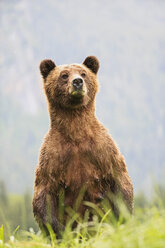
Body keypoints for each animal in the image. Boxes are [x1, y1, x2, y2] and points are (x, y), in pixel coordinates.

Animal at [32, 55, 133, 235]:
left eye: (83, 73)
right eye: (64, 75)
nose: (77, 82)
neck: (76, 134)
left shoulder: (104, 151)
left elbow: (121, 181)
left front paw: (122, 219)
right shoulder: (52, 157)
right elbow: (43, 194)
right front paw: (60, 232)